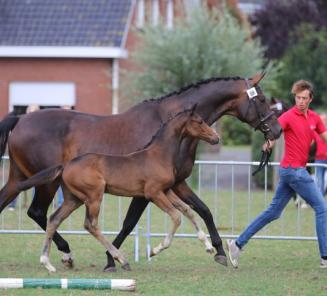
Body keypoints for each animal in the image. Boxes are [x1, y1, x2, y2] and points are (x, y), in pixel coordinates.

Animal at [16, 107, 220, 272]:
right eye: (200, 121)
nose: (216, 138)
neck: (158, 155)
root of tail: (66, 165)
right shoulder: (153, 193)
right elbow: (176, 216)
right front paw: (156, 250)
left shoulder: (167, 190)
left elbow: (187, 210)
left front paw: (208, 246)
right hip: (94, 196)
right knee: (90, 225)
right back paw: (121, 259)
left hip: (73, 199)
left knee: (54, 219)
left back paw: (47, 263)